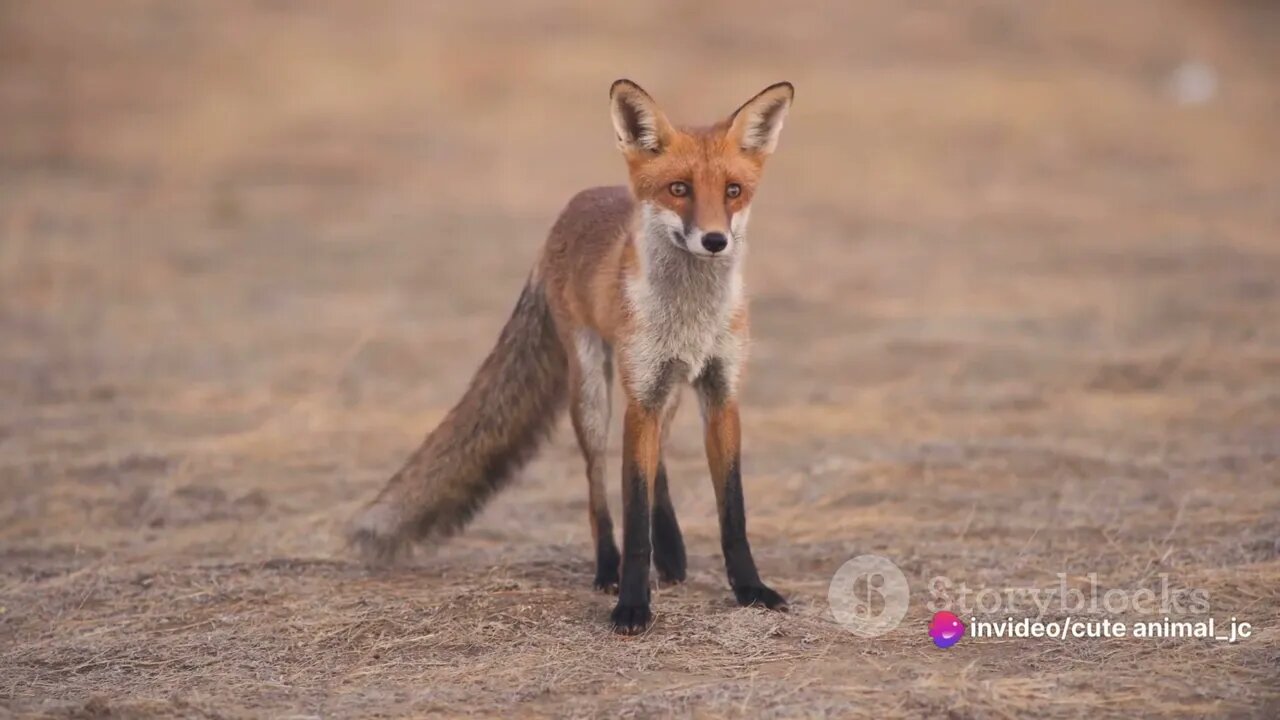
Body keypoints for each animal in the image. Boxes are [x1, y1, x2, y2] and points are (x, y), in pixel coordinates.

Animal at [350, 79, 788, 632]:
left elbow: (732, 510)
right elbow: (633, 511)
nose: (715, 240)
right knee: (598, 485)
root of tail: (573, 206)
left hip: (662, 392)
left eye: (733, 190)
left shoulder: (720, 392)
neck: (690, 317)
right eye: (679, 189)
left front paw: (750, 589)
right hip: (595, 392)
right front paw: (632, 605)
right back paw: (607, 568)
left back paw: (671, 553)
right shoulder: (642, 396)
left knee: (659, 463)